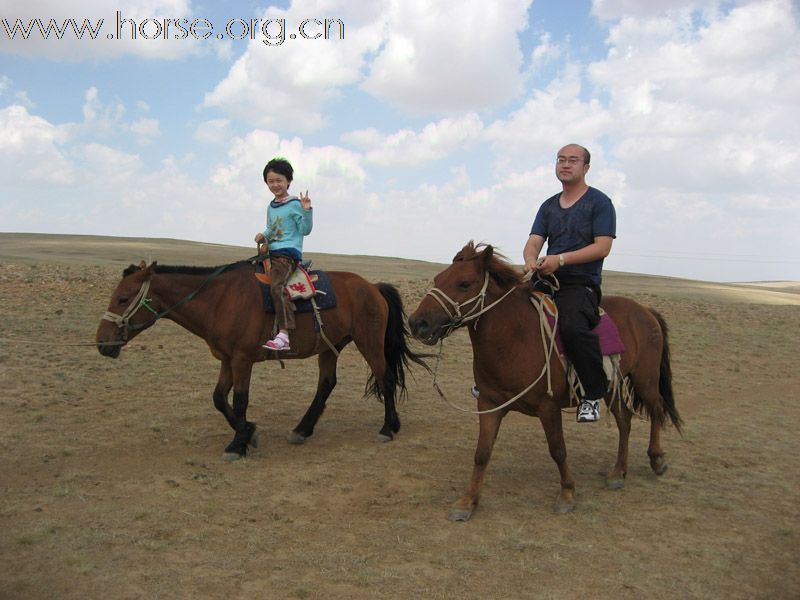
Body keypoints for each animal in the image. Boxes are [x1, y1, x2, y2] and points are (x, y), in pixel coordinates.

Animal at [96, 258, 428, 460]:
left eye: (123, 298)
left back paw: (388, 428)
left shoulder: (242, 360)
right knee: (327, 383)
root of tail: (373, 287)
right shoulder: (227, 360)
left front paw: (238, 442)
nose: (102, 343)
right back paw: (302, 430)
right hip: (329, 346)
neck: (219, 301)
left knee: (385, 378)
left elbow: (240, 400)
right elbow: (219, 398)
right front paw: (249, 433)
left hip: (368, 343)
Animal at [410, 243, 684, 520]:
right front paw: (467, 502)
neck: (515, 339)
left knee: (656, 410)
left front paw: (567, 493)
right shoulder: (489, 405)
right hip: (609, 385)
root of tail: (646, 311)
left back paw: (657, 459)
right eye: (438, 279)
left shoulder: (548, 407)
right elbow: (482, 453)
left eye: (464, 283)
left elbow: (558, 450)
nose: (417, 323)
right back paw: (618, 472)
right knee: (624, 420)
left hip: (645, 379)